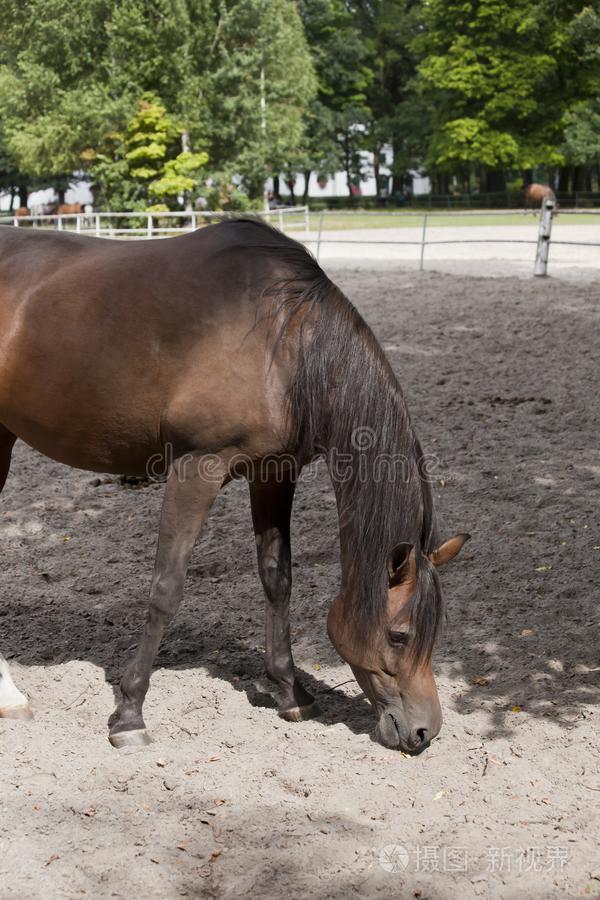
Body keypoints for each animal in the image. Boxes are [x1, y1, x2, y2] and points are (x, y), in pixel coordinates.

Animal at [0, 218, 468, 752]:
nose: (423, 732)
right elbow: (167, 588)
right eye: (399, 635)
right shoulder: (195, 470)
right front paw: (130, 712)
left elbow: (277, 578)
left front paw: (290, 691)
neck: (282, 343)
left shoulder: (274, 473)